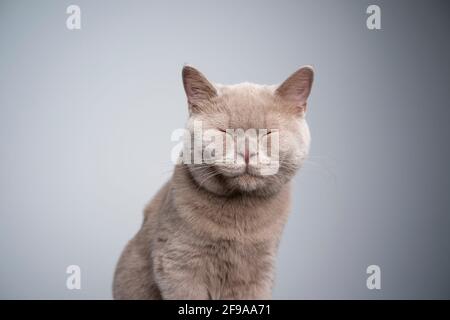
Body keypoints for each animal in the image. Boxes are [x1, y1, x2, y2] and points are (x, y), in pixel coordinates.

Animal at [112, 65, 312, 300]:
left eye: (268, 133)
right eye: (224, 132)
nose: (246, 152)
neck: (239, 217)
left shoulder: (260, 272)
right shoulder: (177, 264)